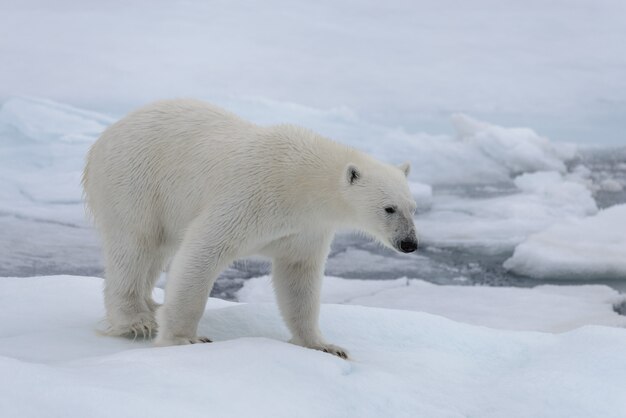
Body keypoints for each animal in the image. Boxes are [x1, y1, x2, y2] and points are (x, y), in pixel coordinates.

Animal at [81, 100, 414, 360]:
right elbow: (203, 250)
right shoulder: (251, 196)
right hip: (135, 181)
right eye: (389, 208)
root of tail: (104, 137)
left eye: (412, 207)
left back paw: (150, 306)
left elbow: (298, 277)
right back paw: (137, 321)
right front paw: (183, 338)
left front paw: (324, 345)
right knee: (135, 244)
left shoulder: (306, 229)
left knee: (156, 251)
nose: (409, 243)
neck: (301, 182)